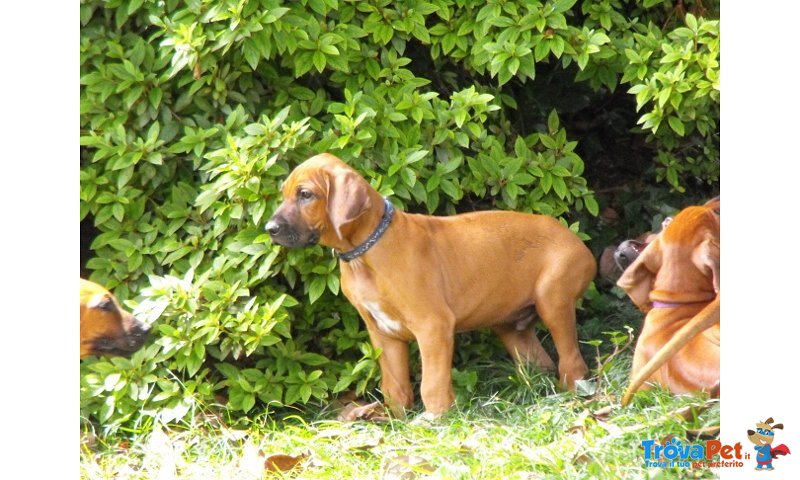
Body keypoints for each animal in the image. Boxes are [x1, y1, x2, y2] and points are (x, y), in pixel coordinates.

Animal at [266, 155, 596, 416]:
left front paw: (436, 418)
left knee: (572, 360)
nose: (269, 229)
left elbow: (432, 382)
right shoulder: (383, 335)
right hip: (511, 326)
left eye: (305, 194)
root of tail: (578, 242)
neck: (366, 253)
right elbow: (394, 384)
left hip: (553, 300)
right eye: (284, 194)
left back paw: (573, 393)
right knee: (540, 362)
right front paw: (395, 419)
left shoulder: (433, 326)